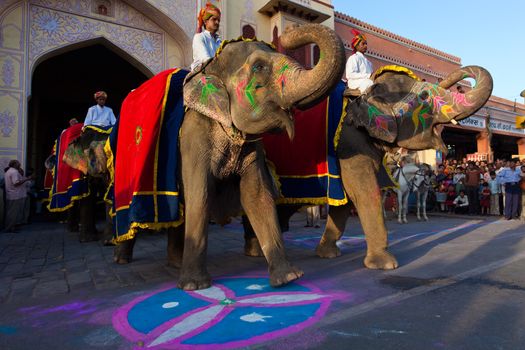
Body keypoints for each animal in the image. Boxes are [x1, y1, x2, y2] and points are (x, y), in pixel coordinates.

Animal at [101, 23, 348, 290]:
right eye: (259, 67)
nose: (289, 29)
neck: (211, 67)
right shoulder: (193, 134)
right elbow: (200, 194)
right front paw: (194, 286)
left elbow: (256, 194)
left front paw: (288, 277)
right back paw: (122, 259)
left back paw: (175, 263)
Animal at [244, 63, 494, 270]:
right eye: (424, 96)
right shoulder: (350, 143)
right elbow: (364, 192)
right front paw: (386, 264)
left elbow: (346, 202)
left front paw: (328, 254)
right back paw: (256, 251)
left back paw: (256, 250)